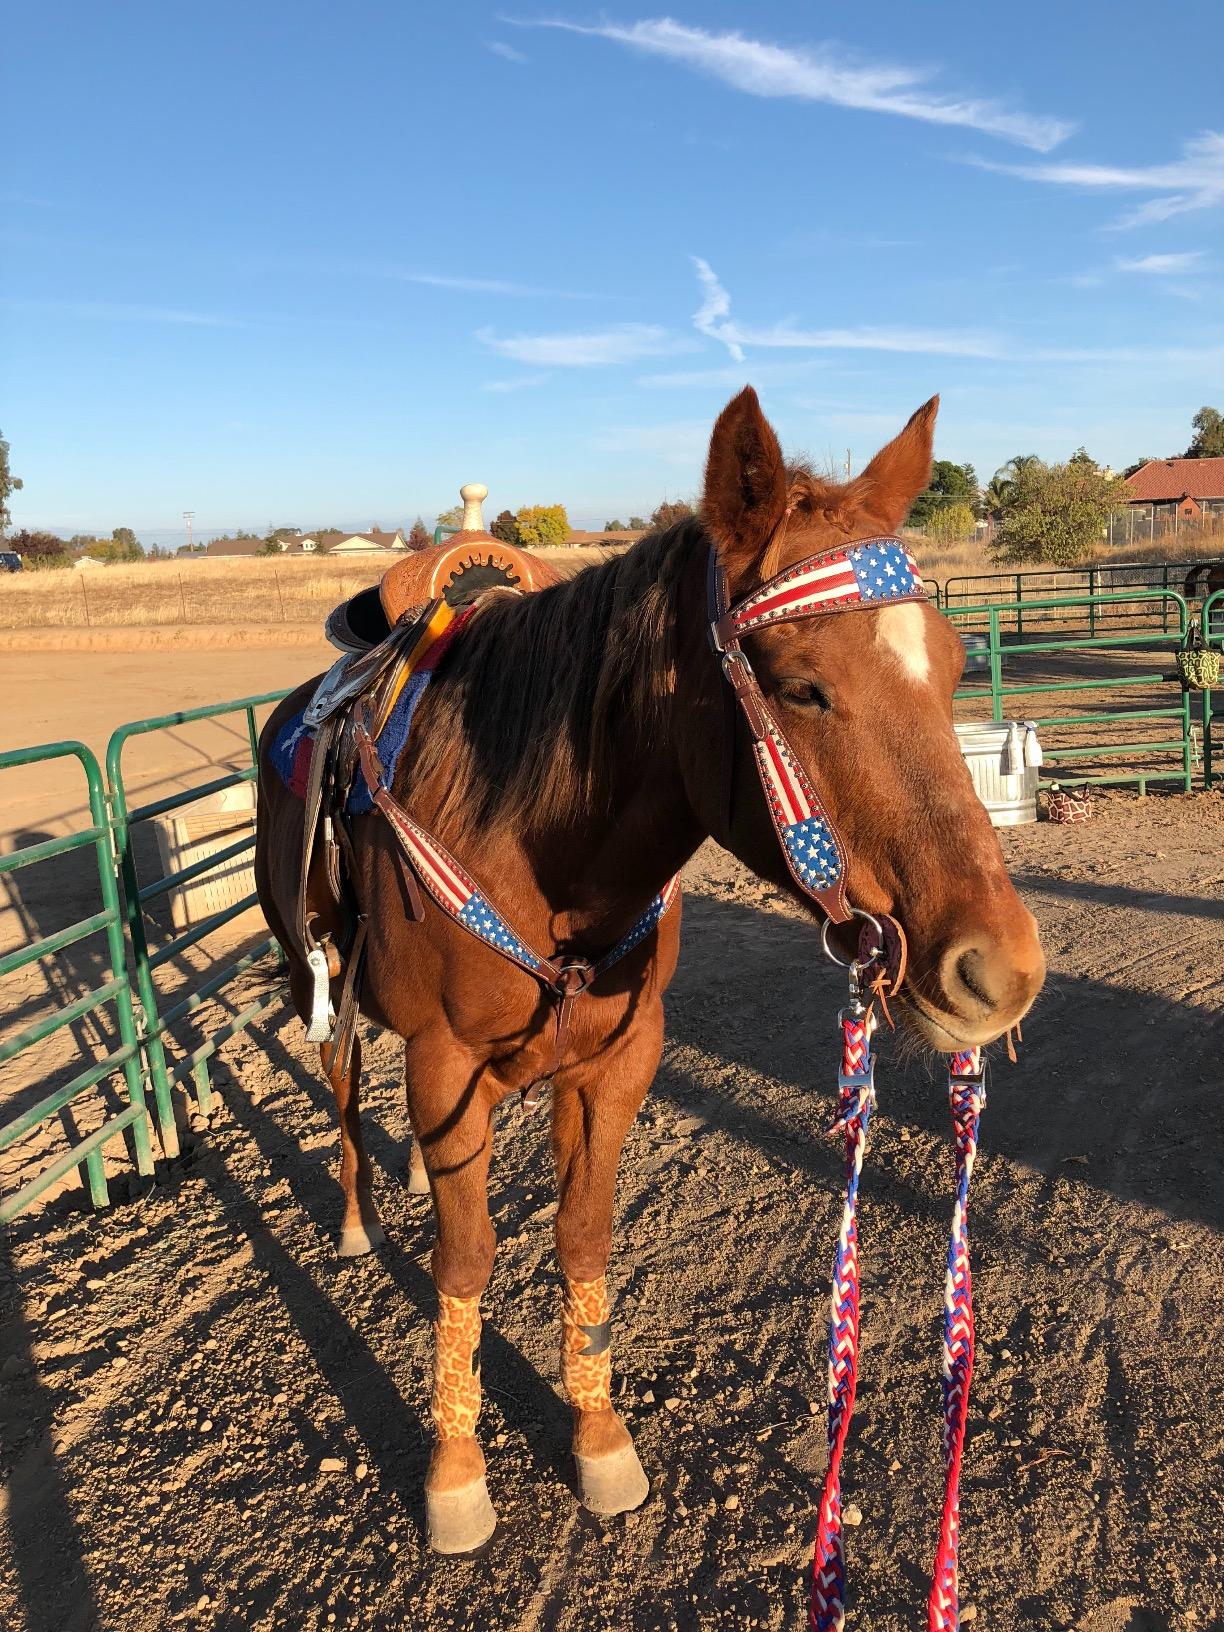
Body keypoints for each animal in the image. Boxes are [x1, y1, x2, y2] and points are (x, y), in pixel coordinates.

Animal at [254, 387, 1044, 1554]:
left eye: (950, 667)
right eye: (802, 687)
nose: (1002, 970)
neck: (529, 838)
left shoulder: (616, 1064)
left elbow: (582, 1241)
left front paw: (599, 1440)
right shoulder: (448, 1061)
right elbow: (466, 1259)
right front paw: (456, 1470)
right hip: (309, 962)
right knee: (345, 1080)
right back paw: (357, 1214)